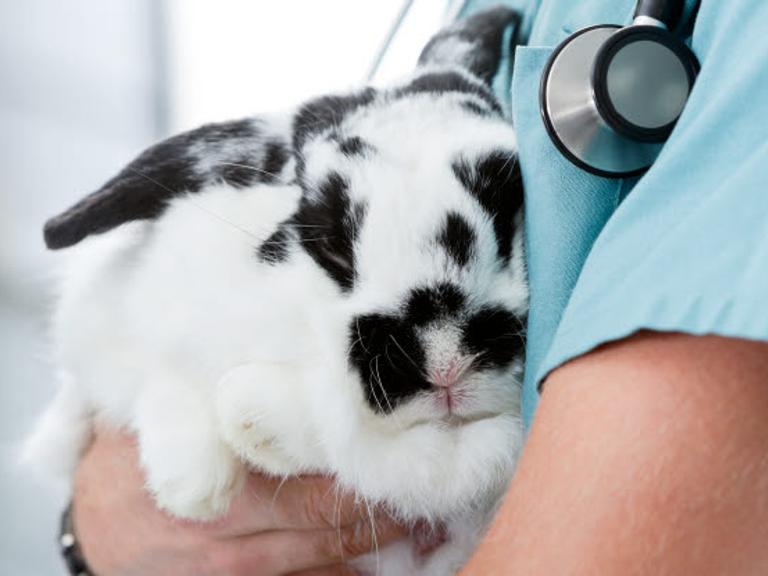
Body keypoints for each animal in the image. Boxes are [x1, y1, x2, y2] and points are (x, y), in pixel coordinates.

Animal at [24, 7, 527, 575]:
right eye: (329, 242)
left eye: (509, 210)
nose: (445, 359)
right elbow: (153, 376)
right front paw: (193, 488)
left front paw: (255, 421)